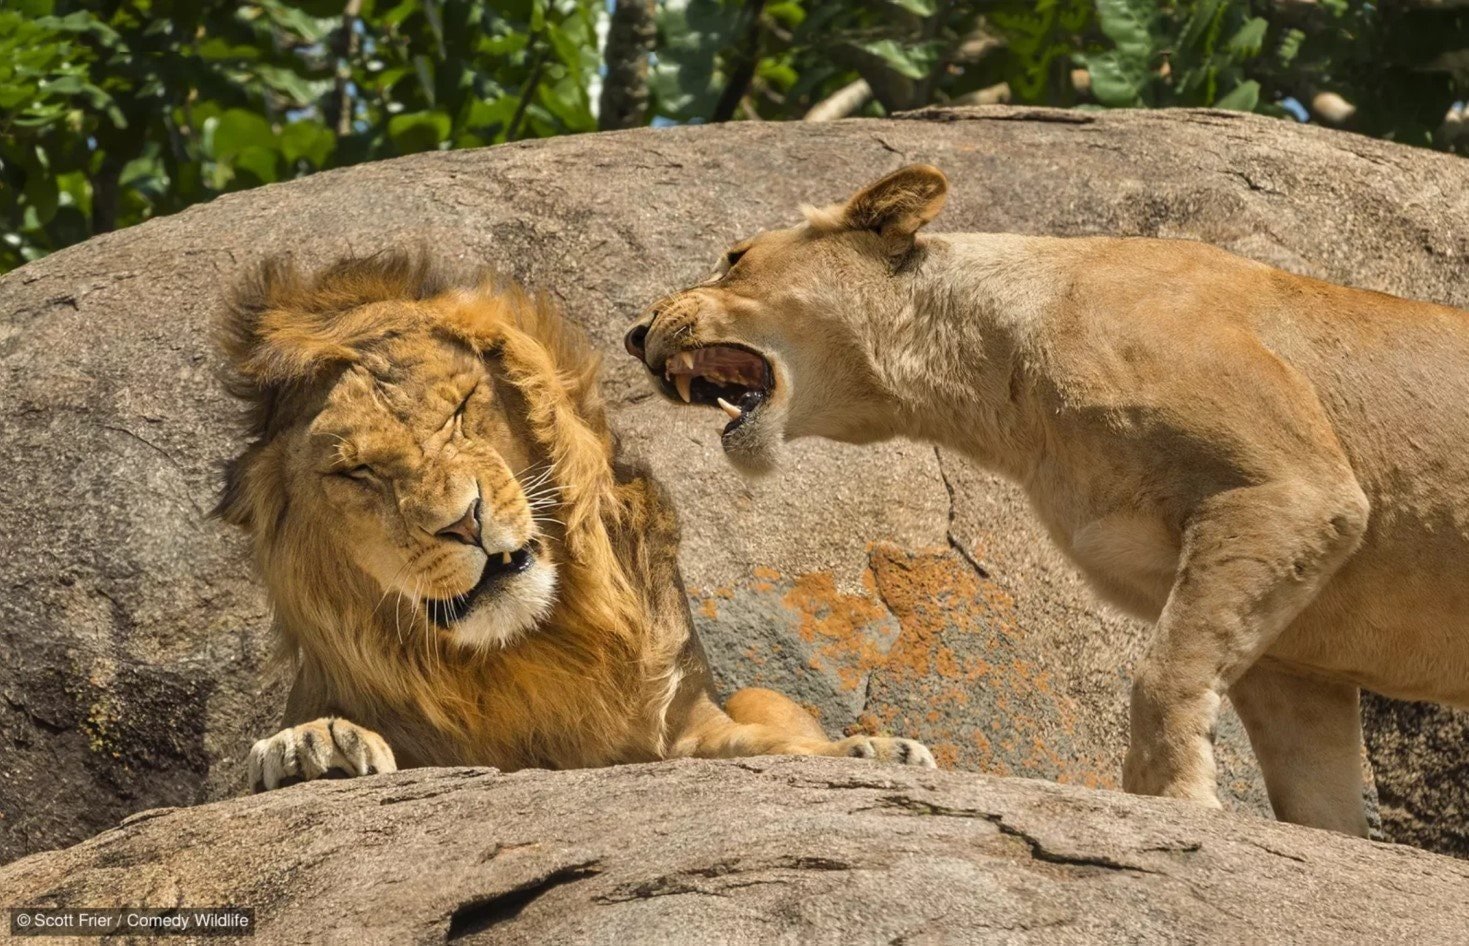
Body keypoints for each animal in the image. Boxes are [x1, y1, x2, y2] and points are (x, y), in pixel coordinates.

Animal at [217, 248, 928, 787]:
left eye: (459, 409)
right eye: (355, 472)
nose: (463, 521)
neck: (529, 649)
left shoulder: (683, 722)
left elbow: (764, 745)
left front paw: (869, 750)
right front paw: (312, 746)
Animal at [625, 164, 1469, 834]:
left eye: (734, 259)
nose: (635, 334)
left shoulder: (1290, 489)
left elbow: (1162, 673)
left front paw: (1172, 802)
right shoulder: (1295, 654)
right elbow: (1314, 795)